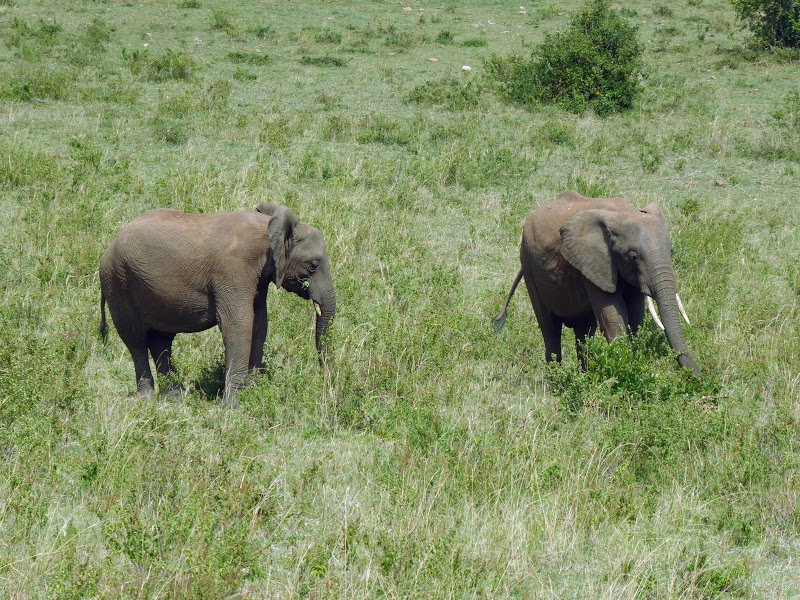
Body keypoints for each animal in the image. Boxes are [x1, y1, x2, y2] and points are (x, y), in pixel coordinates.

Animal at [98, 203, 336, 408]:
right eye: (313, 265)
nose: (325, 382)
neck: (267, 226)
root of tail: (108, 248)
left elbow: (259, 324)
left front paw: (253, 392)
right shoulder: (233, 270)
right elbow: (239, 323)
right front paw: (233, 406)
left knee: (161, 340)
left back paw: (174, 397)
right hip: (118, 282)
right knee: (136, 339)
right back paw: (147, 400)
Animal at [494, 190, 700, 376]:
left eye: (671, 251)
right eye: (632, 256)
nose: (698, 376)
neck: (623, 214)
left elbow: (635, 316)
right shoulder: (594, 261)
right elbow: (613, 316)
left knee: (583, 333)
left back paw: (585, 376)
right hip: (528, 262)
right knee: (550, 330)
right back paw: (556, 383)